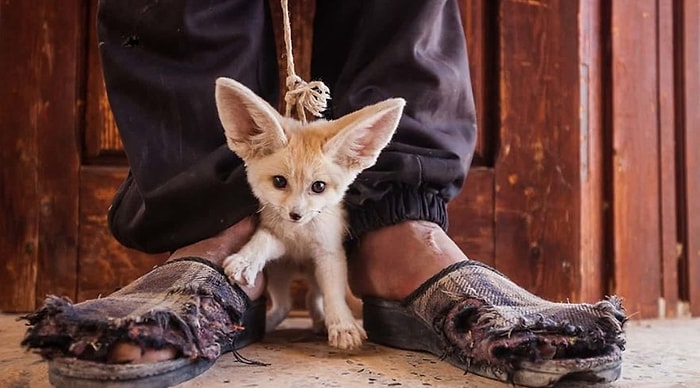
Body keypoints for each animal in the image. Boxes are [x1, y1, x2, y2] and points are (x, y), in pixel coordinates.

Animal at [215, 77, 404, 350]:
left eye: (318, 187)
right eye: (279, 182)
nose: (296, 215)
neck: (300, 238)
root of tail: (300, 269)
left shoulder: (329, 254)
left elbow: (334, 294)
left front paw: (343, 325)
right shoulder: (279, 239)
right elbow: (263, 240)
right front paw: (246, 259)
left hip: (314, 276)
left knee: (312, 299)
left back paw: (321, 321)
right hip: (279, 275)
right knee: (285, 305)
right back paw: (269, 324)